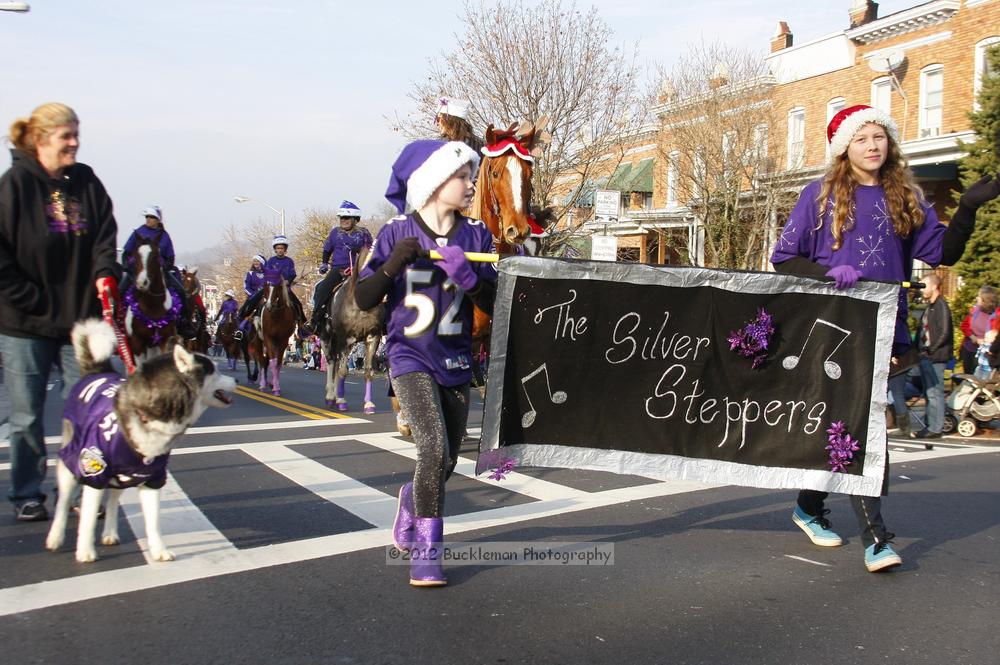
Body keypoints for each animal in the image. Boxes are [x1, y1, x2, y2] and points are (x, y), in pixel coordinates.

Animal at [46, 320, 236, 564]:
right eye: (214, 370)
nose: (236, 380)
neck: (153, 412)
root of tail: (96, 371)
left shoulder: (152, 478)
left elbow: (153, 521)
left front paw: (158, 550)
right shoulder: (94, 470)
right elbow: (87, 517)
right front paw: (85, 551)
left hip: (121, 475)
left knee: (114, 499)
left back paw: (110, 534)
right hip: (71, 460)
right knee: (63, 500)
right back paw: (55, 536)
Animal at [122, 230, 183, 364]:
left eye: (155, 256)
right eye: (135, 256)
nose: (142, 283)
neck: (152, 306)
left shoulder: (164, 340)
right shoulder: (137, 342)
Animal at [318, 246, 384, 412]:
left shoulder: (373, 337)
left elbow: (369, 371)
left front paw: (368, 404)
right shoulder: (345, 340)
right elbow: (343, 371)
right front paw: (342, 401)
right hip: (326, 338)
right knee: (331, 363)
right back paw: (331, 397)